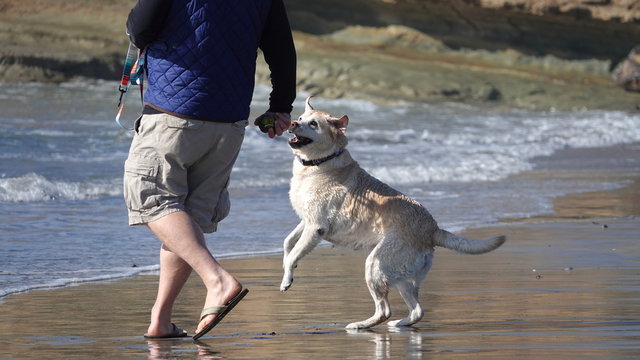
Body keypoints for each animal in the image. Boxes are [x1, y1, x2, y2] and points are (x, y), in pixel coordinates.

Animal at [280, 96, 504, 330]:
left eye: (314, 124)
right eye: (300, 118)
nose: (292, 123)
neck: (319, 163)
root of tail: (433, 230)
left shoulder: (316, 227)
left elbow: (294, 252)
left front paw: (286, 280)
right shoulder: (306, 220)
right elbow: (288, 243)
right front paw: (288, 270)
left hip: (375, 266)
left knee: (384, 310)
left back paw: (360, 325)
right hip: (402, 277)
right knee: (417, 310)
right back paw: (399, 324)